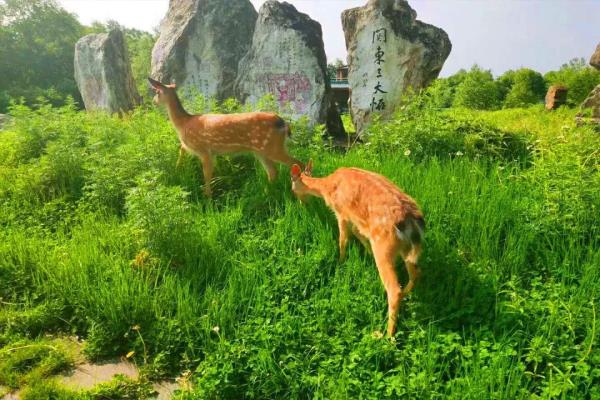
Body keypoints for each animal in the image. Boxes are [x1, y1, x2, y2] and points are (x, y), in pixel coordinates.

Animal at [148, 77, 302, 196]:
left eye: (156, 92)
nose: (153, 102)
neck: (183, 124)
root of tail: (283, 123)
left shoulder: (204, 150)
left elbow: (206, 175)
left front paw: (208, 198)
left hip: (273, 146)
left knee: (297, 163)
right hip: (261, 151)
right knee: (273, 172)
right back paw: (265, 192)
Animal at [292, 161, 426, 336]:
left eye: (292, 185)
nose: (301, 203)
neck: (327, 187)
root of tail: (412, 222)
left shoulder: (341, 212)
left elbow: (343, 239)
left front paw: (340, 262)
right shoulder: (356, 219)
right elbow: (357, 232)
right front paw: (366, 253)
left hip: (384, 246)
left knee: (393, 289)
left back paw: (386, 335)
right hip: (407, 249)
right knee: (416, 273)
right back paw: (405, 297)